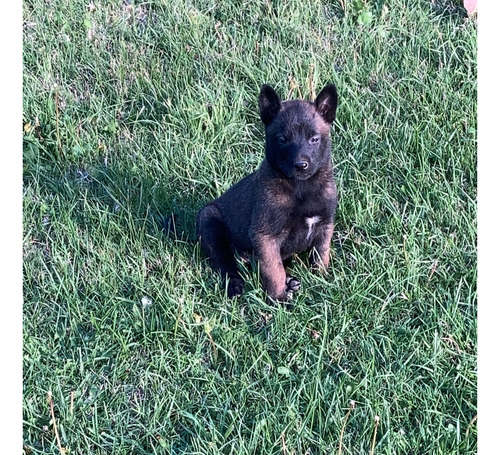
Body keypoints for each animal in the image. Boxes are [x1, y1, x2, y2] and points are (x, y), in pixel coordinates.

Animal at [196, 83, 340, 302]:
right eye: (282, 140)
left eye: (314, 139)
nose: (301, 165)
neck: (301, 188)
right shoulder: (266, 236)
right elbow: (274, 269)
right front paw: (279, 299)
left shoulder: (325, 225)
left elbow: (320, 253)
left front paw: (321, 280)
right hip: (210, 220)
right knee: (226, 264)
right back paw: (235, 286)